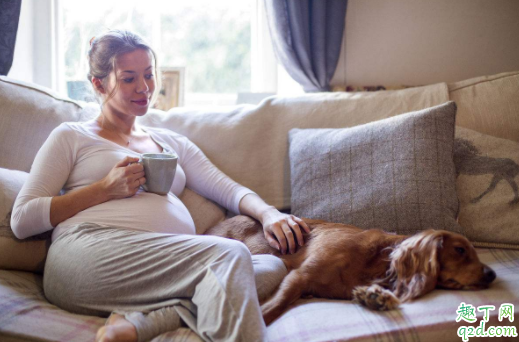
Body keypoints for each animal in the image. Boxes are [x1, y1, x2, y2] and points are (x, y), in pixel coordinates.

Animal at [205, 215, 498, 324]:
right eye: (460, 250)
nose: (492, 274)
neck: (375, 261)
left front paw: (375, 297)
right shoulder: (299, 276)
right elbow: (276, 305)